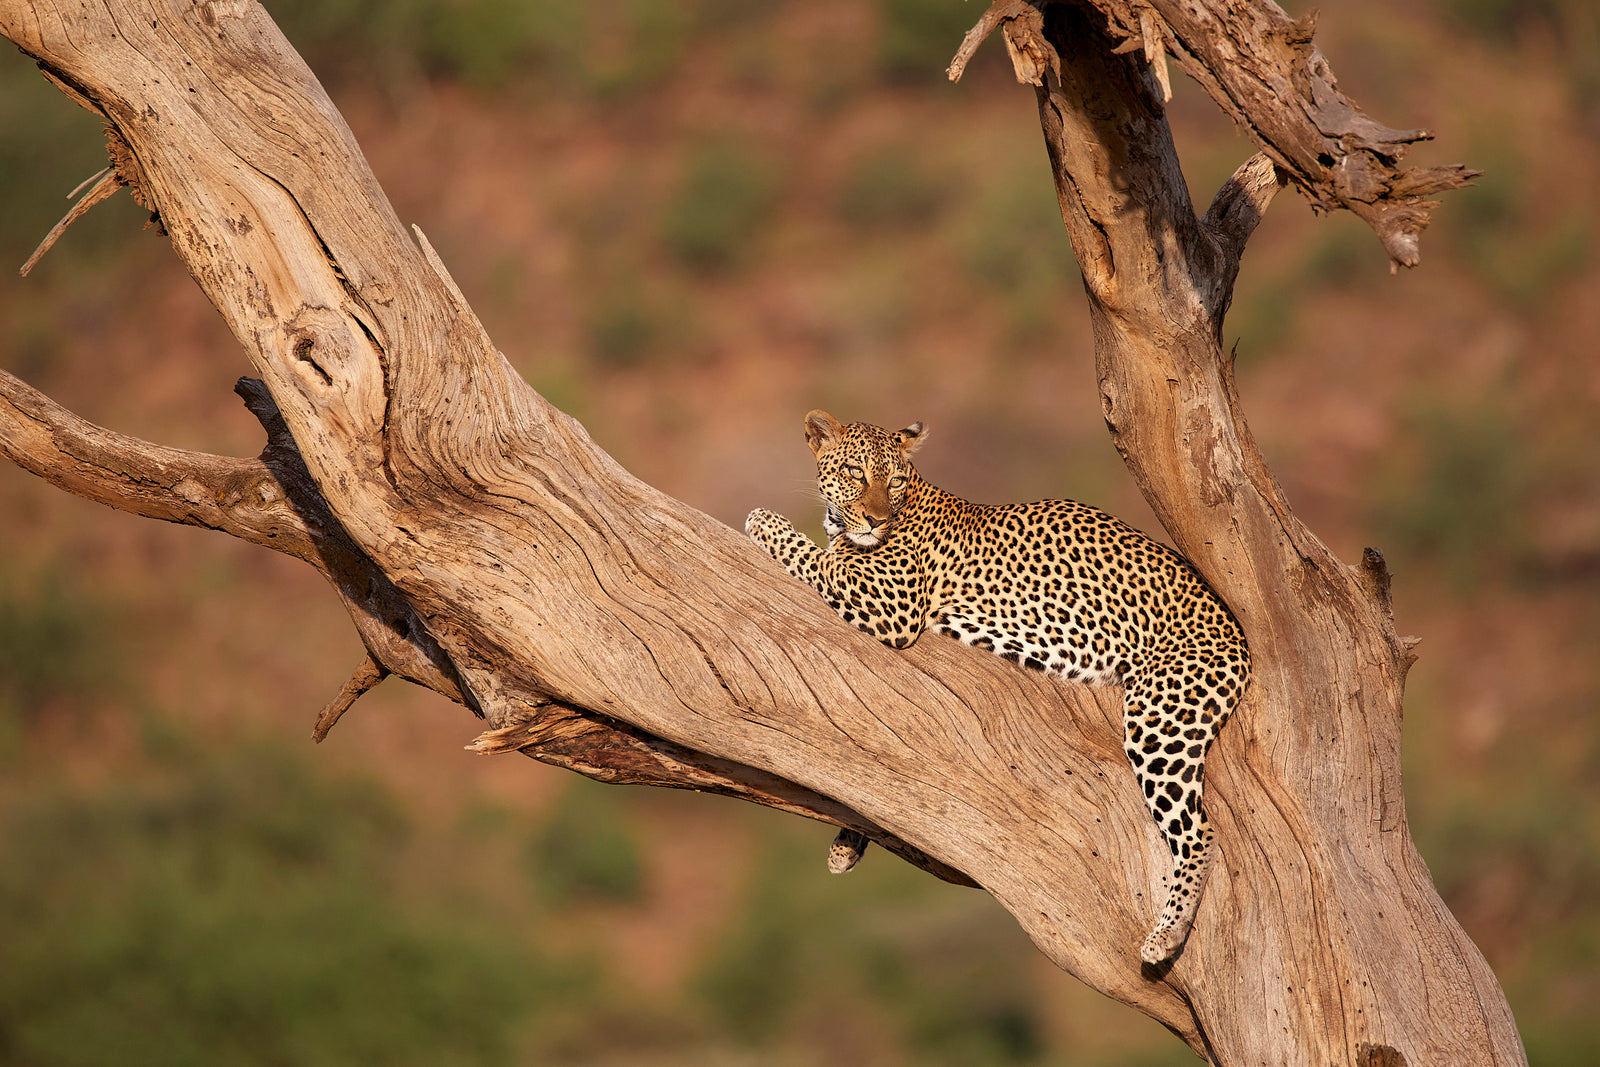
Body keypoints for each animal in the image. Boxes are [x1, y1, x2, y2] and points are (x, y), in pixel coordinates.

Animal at [745, 410, 1251, 965]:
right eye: (856, 473)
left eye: (893, 481)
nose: (876, 520)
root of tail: (1239, 634)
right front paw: (846, 845)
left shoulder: (889, 606)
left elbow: (811, 554)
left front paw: (762, 519)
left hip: (1160, 719)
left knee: (1200, 832)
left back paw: (1165, 936)